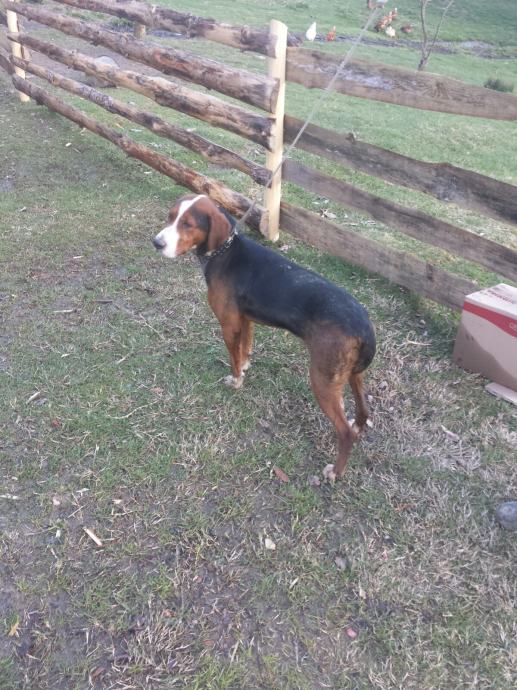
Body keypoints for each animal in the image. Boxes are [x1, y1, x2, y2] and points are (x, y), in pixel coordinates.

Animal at [153, 194, 376, 480]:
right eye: (171, 217)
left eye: (188, 224)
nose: (156, 243)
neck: (226, 251)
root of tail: (364, 326)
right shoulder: (245, 320)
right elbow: (245, 348)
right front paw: (246, 365)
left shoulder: (229, 325)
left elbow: (233, 358)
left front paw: (237, 381)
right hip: (353, 375)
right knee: (363, 409)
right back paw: (358, 427)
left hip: (323, 380)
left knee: (344, 433)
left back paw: (334, 472)